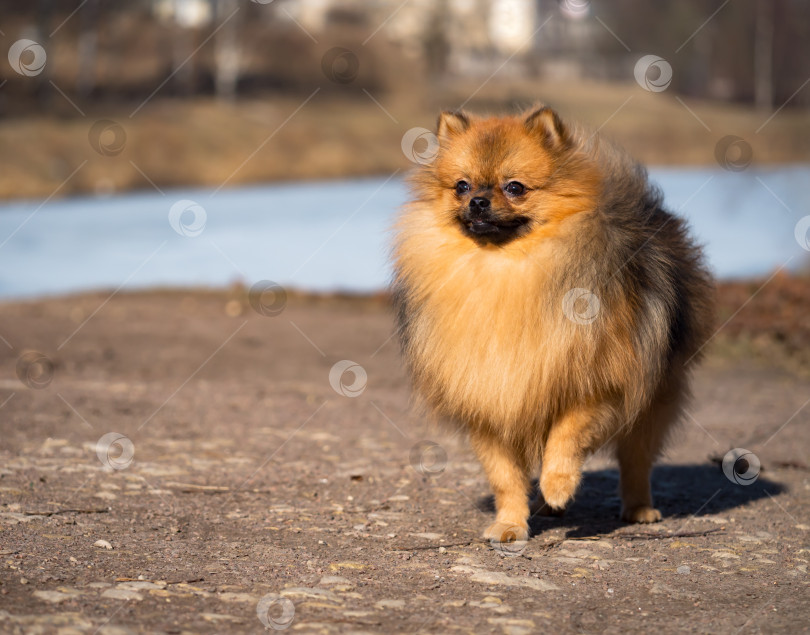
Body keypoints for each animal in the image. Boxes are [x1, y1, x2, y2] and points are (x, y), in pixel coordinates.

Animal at [392, 104, 712, 540]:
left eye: (514, 187)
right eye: (461, 186)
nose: (477, 201)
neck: (504, 269)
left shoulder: (599, 382)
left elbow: (567, 434)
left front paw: (558, 483)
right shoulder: (488, 397)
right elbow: (505, 475)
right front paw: (511, 523)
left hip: (654, 396)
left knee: (636, 459)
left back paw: (637, 508)